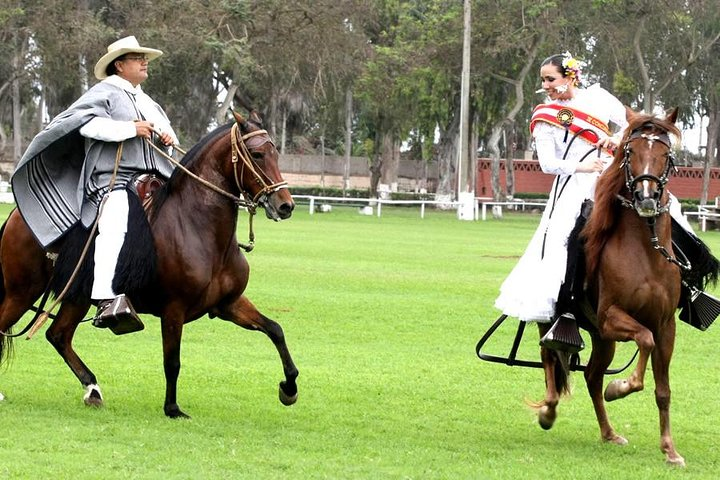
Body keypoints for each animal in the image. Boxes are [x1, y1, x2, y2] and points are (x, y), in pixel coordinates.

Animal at [0, 110, 298, 418]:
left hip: (75, 297)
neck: (198, 228)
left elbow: (275, 329)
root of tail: (15, 216)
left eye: (275, 152)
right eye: (257, 154)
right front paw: (173, 408)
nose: (285, 205)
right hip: (22, 293)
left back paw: (93, 390)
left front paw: (289, 388)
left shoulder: (228, 304)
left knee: (58, 335)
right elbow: (172, 361)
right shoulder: (174, 309)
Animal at [536, 108, 692, 464]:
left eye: (666, 154)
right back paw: (548, 411)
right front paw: (621, 386)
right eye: (630, 152)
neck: (646, 254)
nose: (646, 197)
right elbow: (644, 340)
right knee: (550, 356)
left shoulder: (666, 325)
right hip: (557, 321)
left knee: (592, 376)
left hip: (602, 338)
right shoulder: (611, 317)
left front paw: (670, 450)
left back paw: (609, 433)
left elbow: (663, 390)